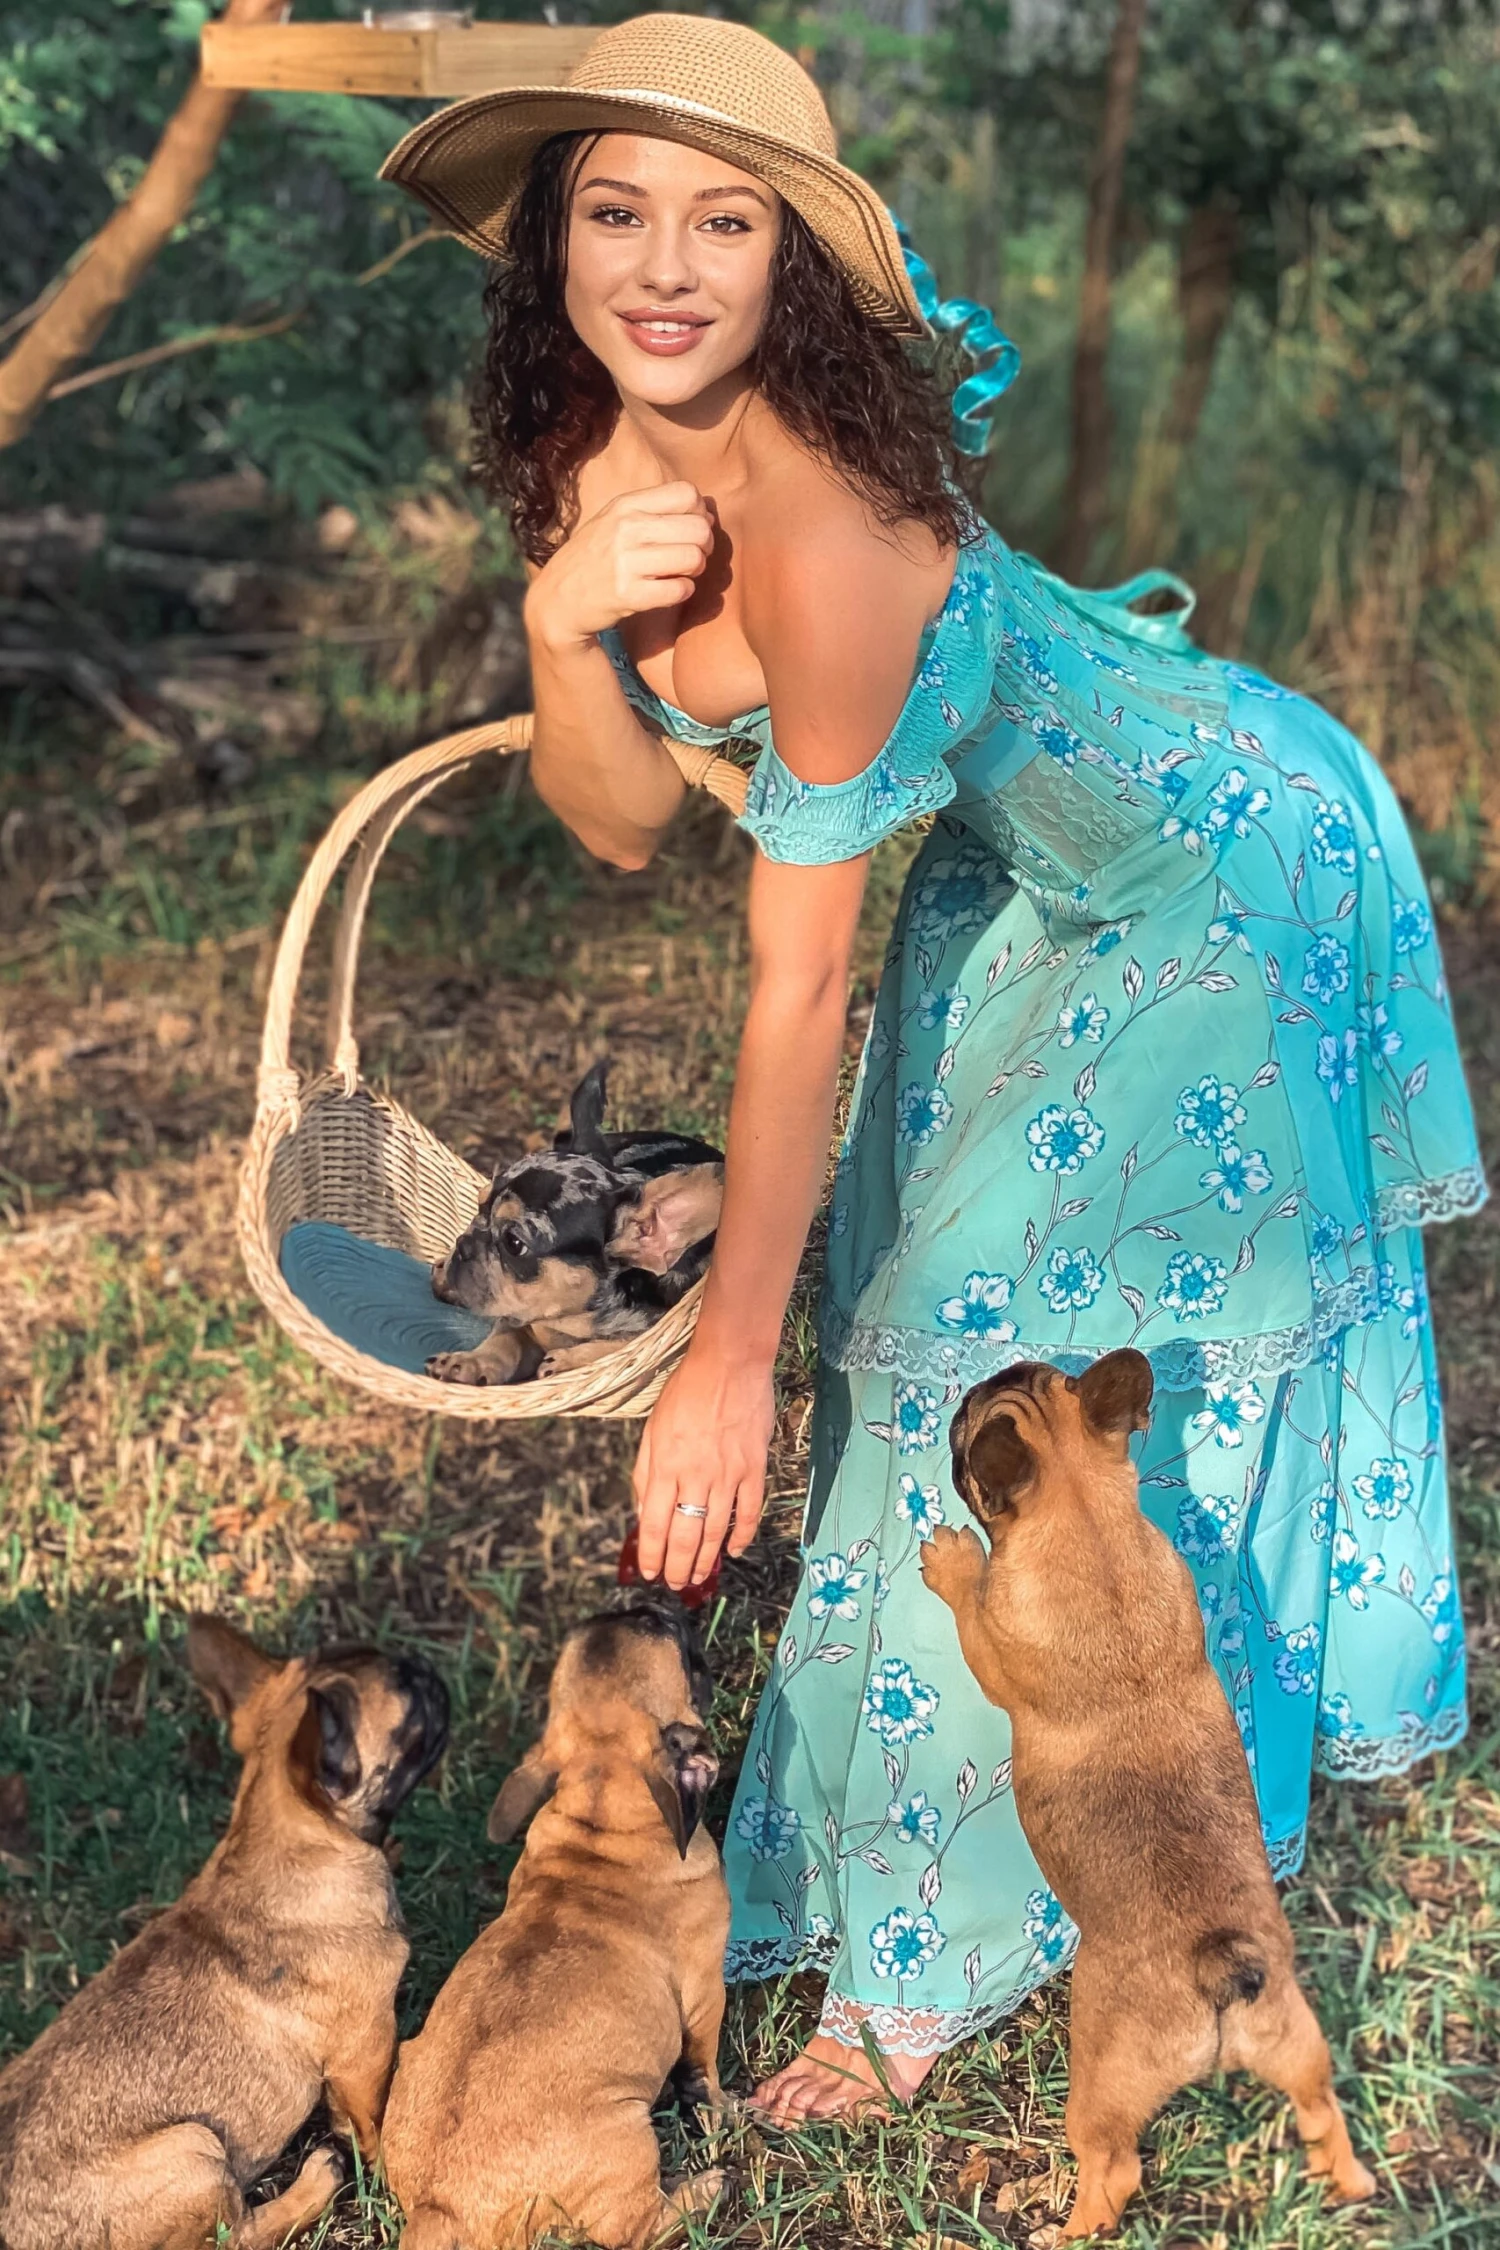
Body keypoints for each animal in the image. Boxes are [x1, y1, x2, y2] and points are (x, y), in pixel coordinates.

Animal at [0, 1617, 449, 2250]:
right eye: (409, 1709)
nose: (426, 1666)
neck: (277, 1843)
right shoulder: (365, 2047)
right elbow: (371, 2119)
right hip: (194, 2150)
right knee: (238, 2232)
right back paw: (315, 2183)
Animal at [382, 1604, 729, 2249]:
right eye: (665, 1635)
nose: (651, 1601)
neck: (602, 1820)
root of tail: (439, 2208)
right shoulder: (704, 1993)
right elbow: (705, 2061)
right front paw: (721, 2105)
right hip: (626, 2140)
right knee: (638, 2228)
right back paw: (703, 2192)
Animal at [427, 1061, 724, 1386]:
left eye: (514, 1244)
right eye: (479, 1205)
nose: (463, 1244)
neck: (573, 1320)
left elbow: (620, 1346)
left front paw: (569, 1361)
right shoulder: (520, 1318)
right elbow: (506, 1335)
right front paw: (474, 1361)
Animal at [921, 1350, 1375, 2240]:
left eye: (964, 1434)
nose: (975, 1384)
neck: (1087, 1521)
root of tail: (1219, 1976)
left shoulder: (994, 1651)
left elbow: (971, 1617)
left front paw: (953, 1562)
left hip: (1102, 2087)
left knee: (1115, 2169)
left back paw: (1069, 2231)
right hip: (1295, 2040)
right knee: (1321, 2109)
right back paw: (1345, 2179)